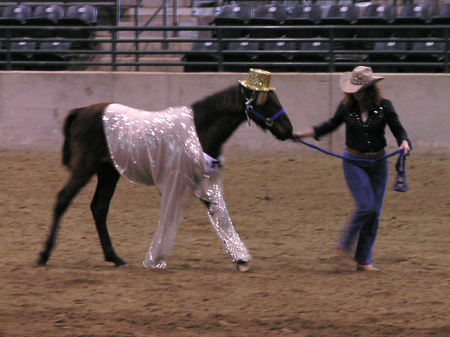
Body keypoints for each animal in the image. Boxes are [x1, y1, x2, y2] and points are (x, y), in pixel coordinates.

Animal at [37, 79, 294, 270]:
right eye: (266, 102)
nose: (288, 130)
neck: (197, 129)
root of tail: (81, 112)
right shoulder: (177, 182)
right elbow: (175, 215)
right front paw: (156, 258)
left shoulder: (206, 182)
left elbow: (219, 213)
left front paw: (240, 258)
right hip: (85, 169)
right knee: (63, 200)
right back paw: (44, 255)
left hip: (108, 173)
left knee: (99, 208)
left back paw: (114, 258)